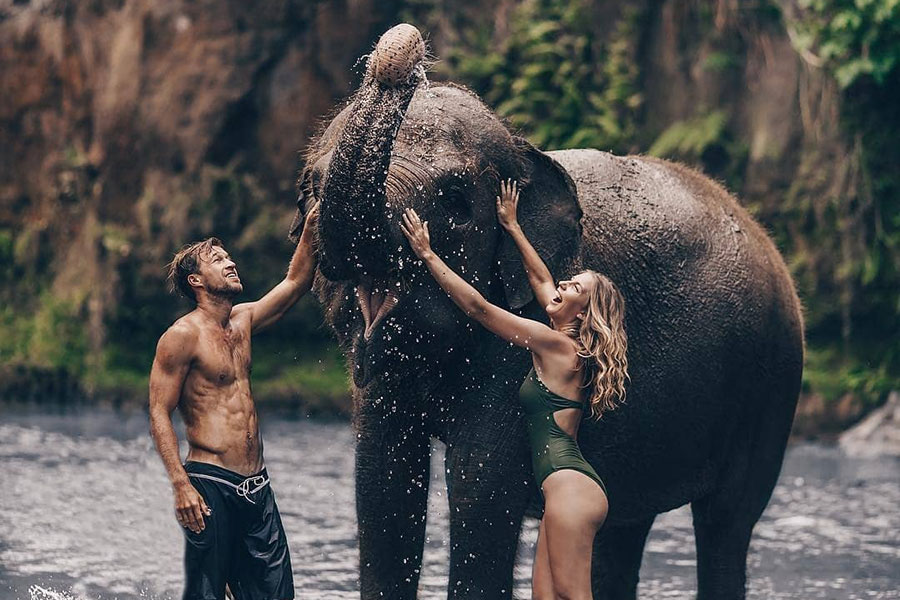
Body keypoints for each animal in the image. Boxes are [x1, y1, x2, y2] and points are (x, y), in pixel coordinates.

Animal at [289, 24, 804, 600]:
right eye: (311, 189)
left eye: (456, 203)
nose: (402, 51)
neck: (525, 151)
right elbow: (383, 482)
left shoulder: (523, 334)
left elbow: (480, 481)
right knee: (622, 525)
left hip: (770, 384)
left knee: (726, 521)